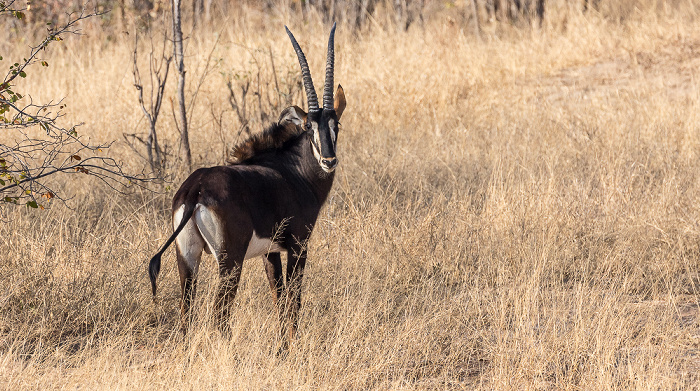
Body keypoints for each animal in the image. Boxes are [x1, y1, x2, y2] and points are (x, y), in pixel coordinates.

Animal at [148, 25, 348, 344]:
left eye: (335, 125)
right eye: (309, 127)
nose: (329, 160)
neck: (293, 170)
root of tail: (196, 189)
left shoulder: (270, 252)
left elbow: (279, 299)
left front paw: (282, 347)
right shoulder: (298, 245)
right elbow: (294, 300)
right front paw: (292, 347)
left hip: (187, 257)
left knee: (186, 311)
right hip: (231, 260)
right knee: (220, 311)